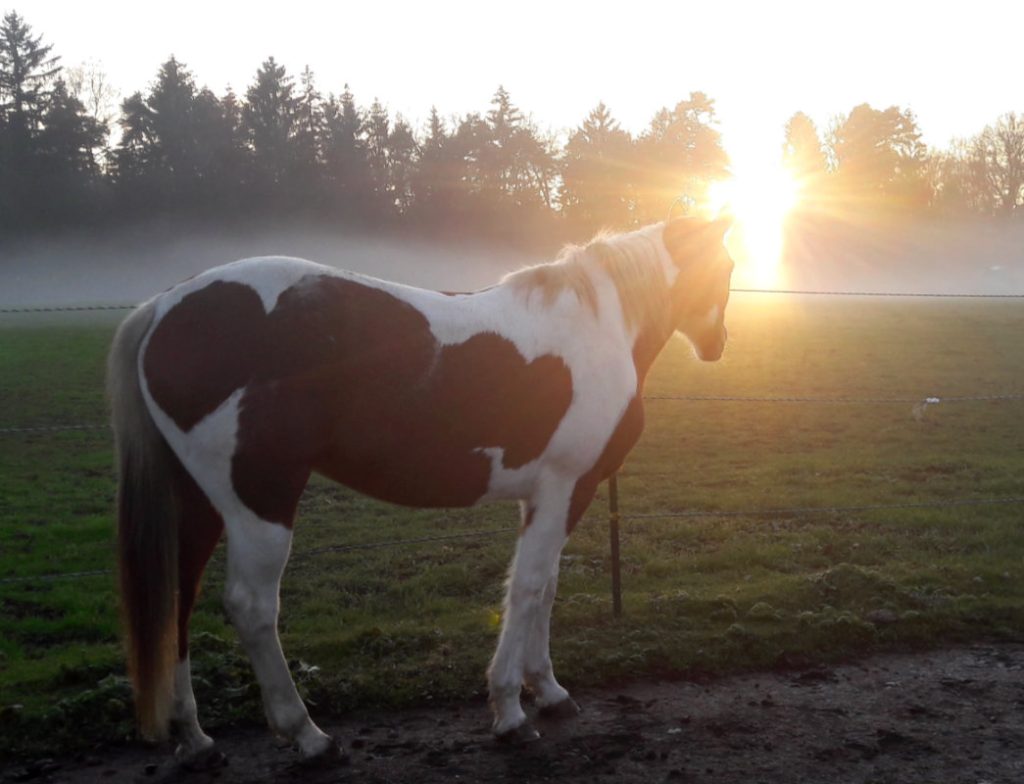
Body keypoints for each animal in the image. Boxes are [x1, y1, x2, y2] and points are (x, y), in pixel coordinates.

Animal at [106, 215, 734, 761]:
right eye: (726, 265)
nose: (718, 344)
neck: (596, 326)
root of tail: (163, 307)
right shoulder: (564, 488)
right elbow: (529, 588)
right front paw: (511, 711)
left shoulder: (546, 498)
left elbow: (546, 587)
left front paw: (549, 692)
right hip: (260, 501)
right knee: (251, 607)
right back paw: (308, 736)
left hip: (198, 504)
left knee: (179, 600)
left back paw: (195, 737)